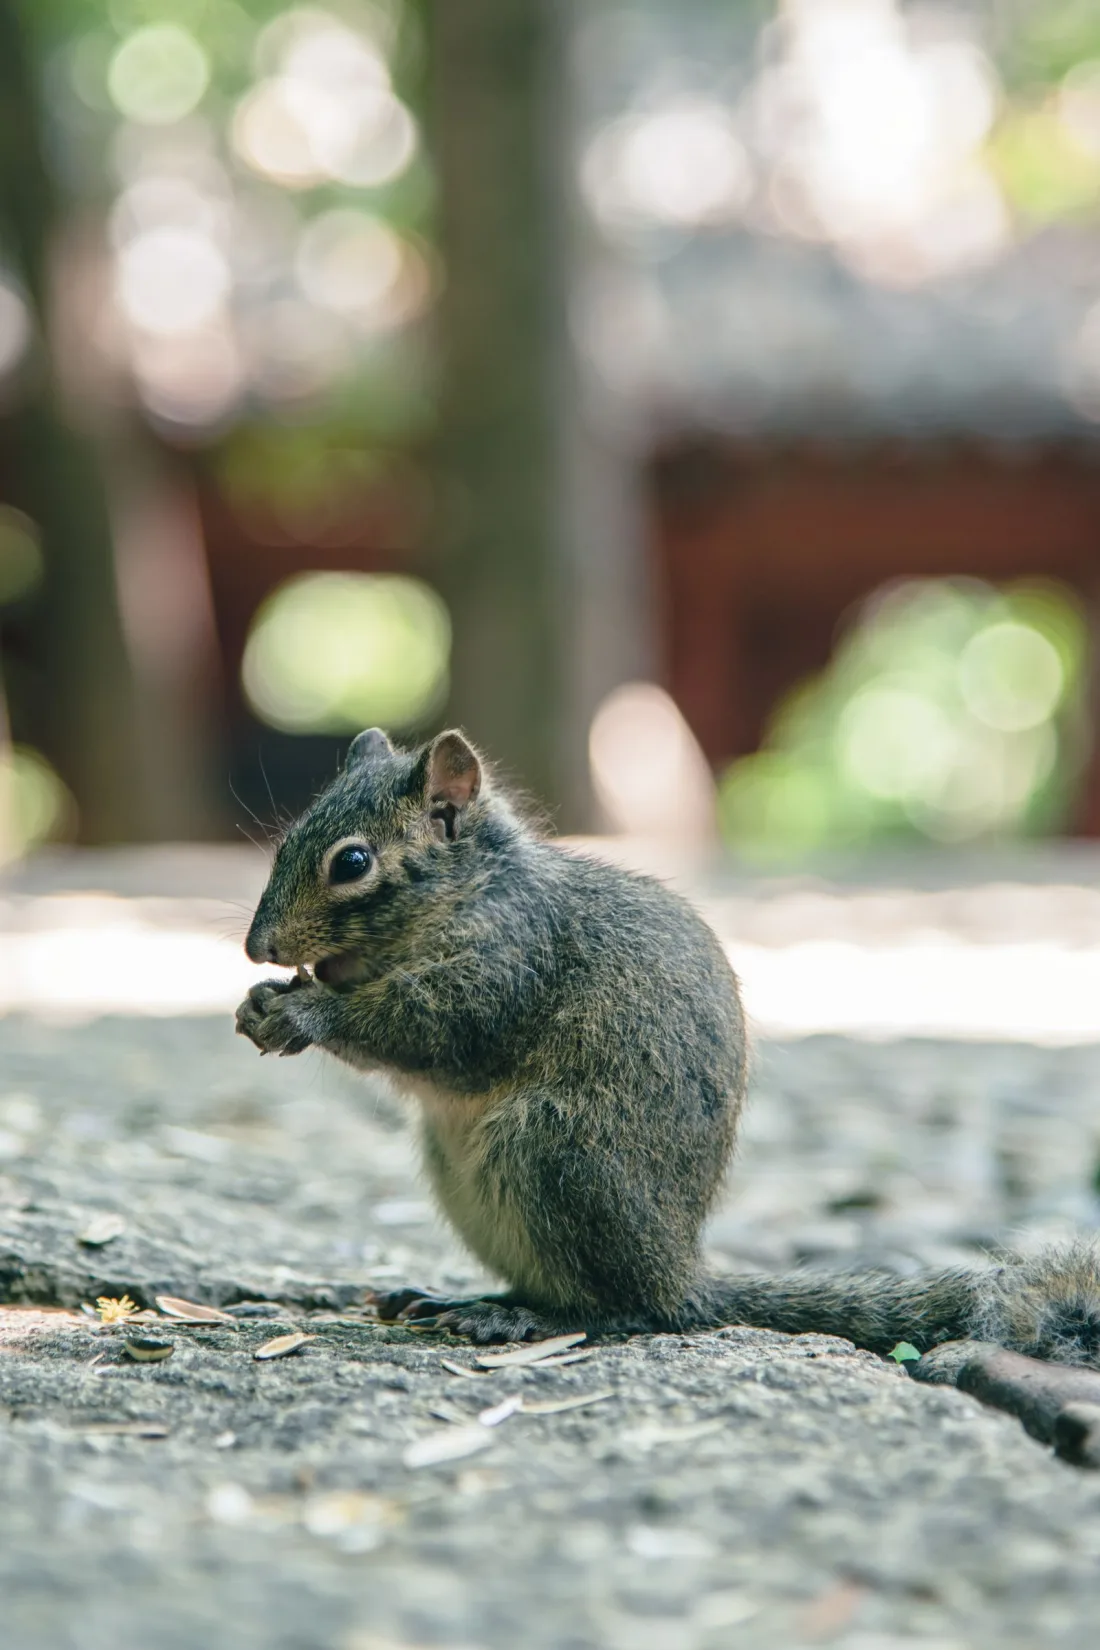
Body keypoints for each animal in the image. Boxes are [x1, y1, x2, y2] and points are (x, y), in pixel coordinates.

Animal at [236, 726, 1100, 1363]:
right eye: (284, 845)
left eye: (352, 862)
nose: (256, 947)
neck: (472, 892)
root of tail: (680, 1273)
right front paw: (259, 1004)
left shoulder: (511, 964)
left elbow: (438, 1029)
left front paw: (306, 1013)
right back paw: (467, 1299)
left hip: (554, 1154)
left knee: (621, 1310)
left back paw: (522, 1321)